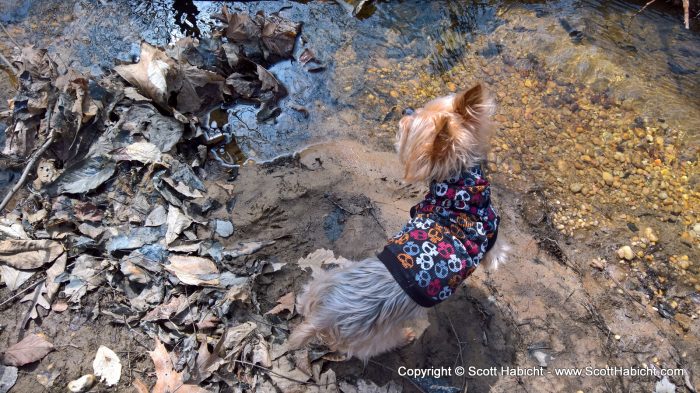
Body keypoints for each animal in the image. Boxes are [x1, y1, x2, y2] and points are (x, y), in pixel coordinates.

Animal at [288, 84, 506, 360]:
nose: (406, 110)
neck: (459, 184)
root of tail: (326, 316)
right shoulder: (492, 238)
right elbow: (496, 257)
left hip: (325, 280)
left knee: (306, 296)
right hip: (376, 337)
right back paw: (406, 337)